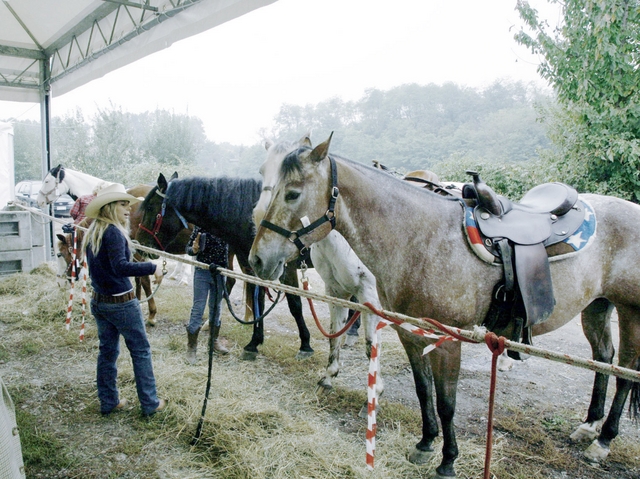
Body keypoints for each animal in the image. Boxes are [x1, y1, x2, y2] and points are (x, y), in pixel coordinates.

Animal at [252, 135, 382, 402]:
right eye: (262, 170)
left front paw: (375, 392)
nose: (259, 215)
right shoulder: (335, 291)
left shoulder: (370, 295)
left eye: (293, 192)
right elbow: (334, 335)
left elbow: (370, 346)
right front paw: (329, 377)